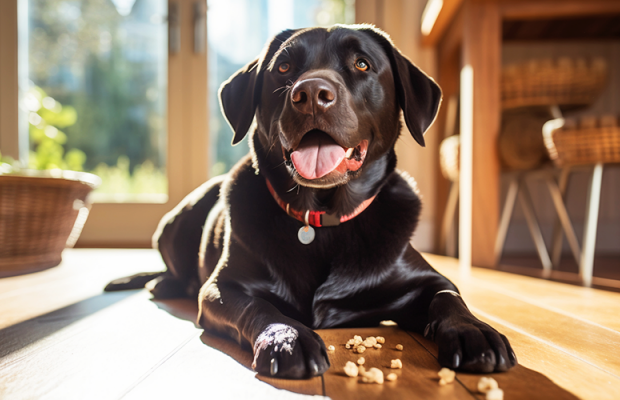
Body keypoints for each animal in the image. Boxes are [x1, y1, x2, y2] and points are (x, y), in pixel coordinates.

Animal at [104, 24, 516, 378]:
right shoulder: (223, 287)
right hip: (178, 222)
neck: (320, 216)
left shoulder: (426, 280)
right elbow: (259, 305)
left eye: (362, 64)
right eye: (284, 67)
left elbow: (449, 297)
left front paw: (473, 331)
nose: (311, 94)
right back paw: (163, 284)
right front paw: (287, 338)